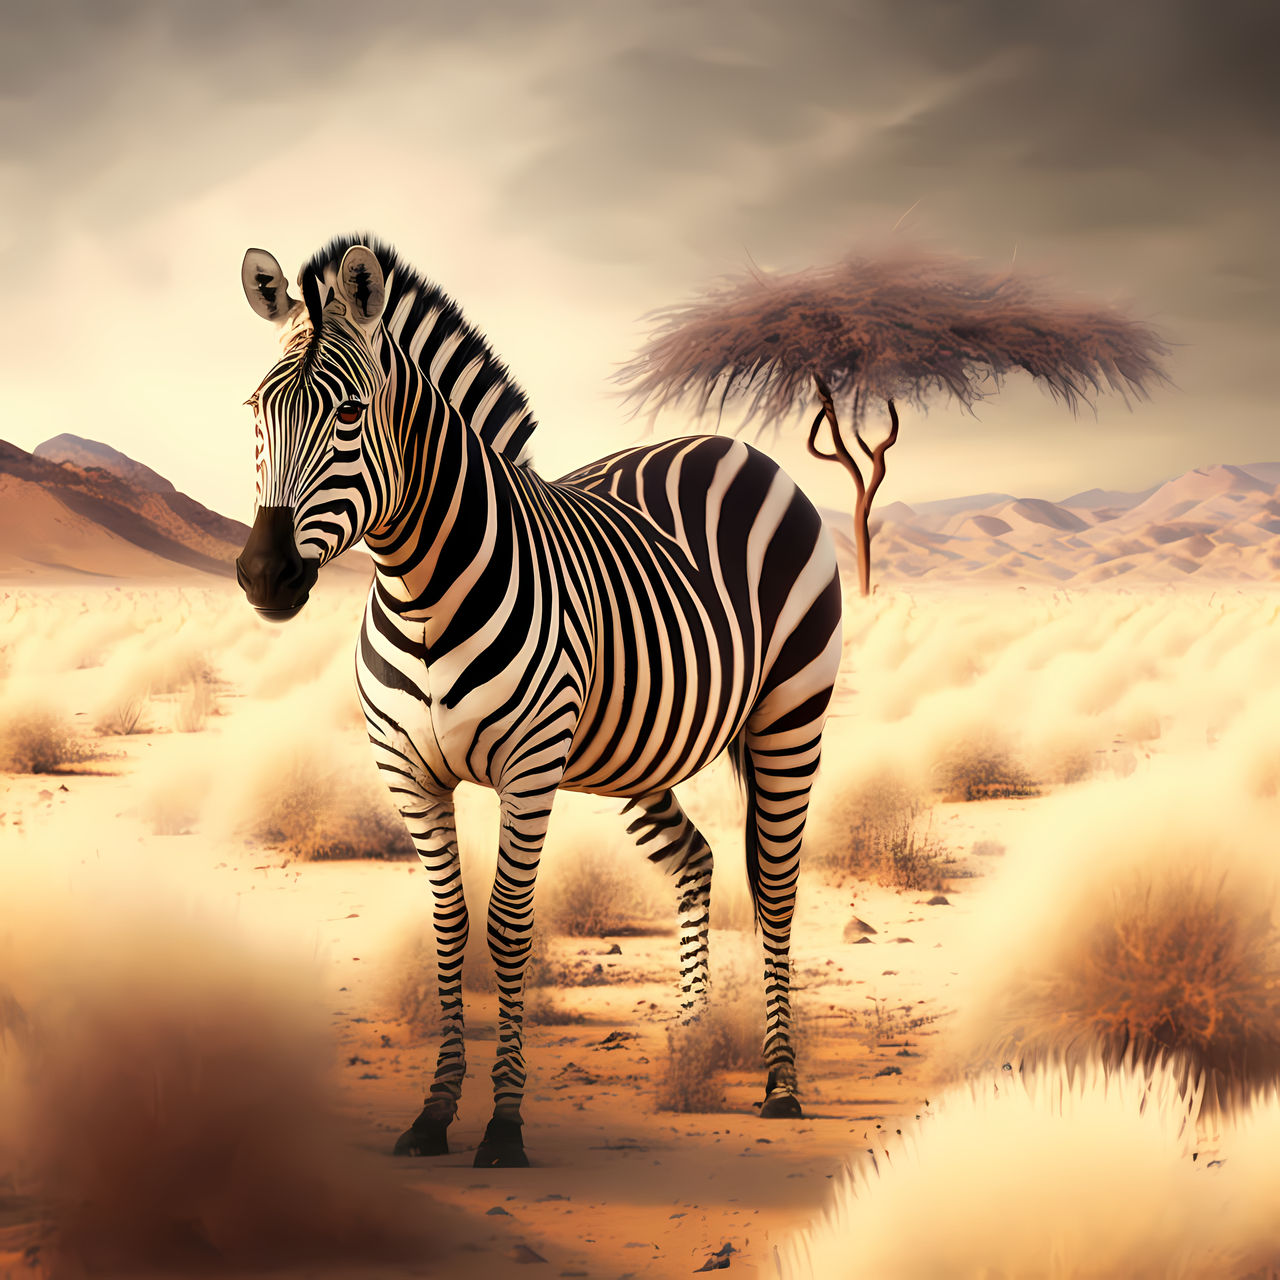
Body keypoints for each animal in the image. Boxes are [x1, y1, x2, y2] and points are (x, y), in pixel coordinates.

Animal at [235, 235, 843, 1168]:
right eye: (256, 411)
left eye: (347, 415)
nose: (265, 575)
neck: (419, 590)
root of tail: (734, 447)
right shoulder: (409, 775)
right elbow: (450, 927)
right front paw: (433, 1113)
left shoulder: (527, 771)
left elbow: (509, 927)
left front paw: (506, 1124)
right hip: (641, 749)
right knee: (698, 860)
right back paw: (692, 1042)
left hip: (790, 713)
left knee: (774, 886)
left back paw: (780, 1084)